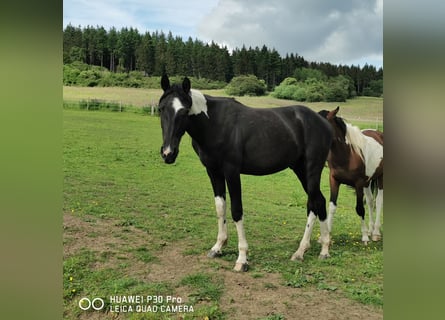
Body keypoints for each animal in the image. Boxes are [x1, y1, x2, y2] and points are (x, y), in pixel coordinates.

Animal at [158, 75, 332, 270]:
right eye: (161, 109)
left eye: (184, 111)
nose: (168, 153)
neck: (215, 124)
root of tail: (322, 121)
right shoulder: (213, 172)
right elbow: (220, 208)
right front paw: (218, 247)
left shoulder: (232, 172)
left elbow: (236, 210)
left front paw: (242, 258)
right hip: (300, 169)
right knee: (318, 201)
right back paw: (316, 248)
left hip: (312, 170)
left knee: (315, 202)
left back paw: (310, 251)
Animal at [320, 106, 382, 244]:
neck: (348, 154)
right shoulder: (334, 180)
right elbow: (332, 206)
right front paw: (327, 236)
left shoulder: (358, 184)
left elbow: (359, 208)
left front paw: (364, 237)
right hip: (368, 182)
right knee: (370, 201)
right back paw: (371, 230)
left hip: (381, 178)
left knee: (378, 201)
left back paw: (375, 233)